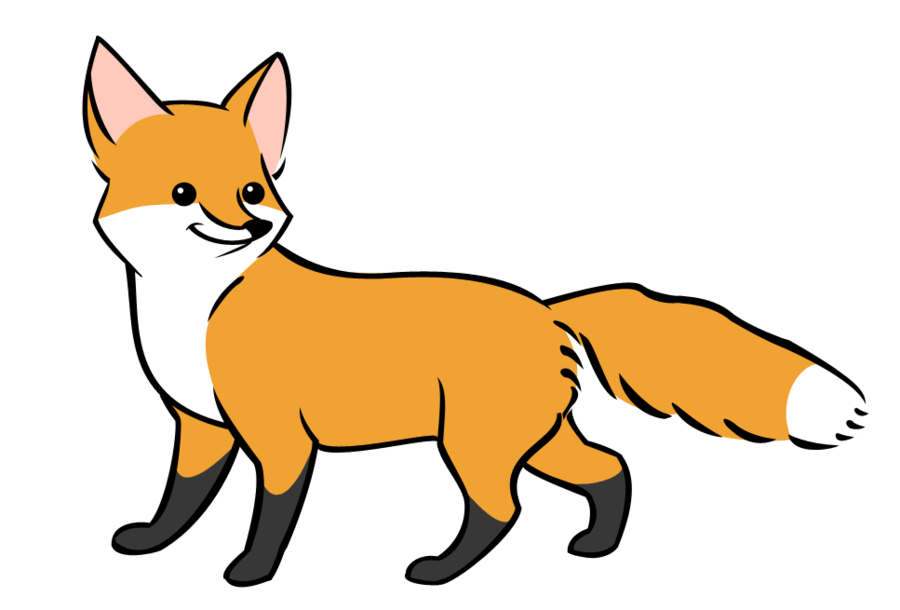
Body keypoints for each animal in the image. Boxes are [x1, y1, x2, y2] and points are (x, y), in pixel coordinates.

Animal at [82, 36, 868, 588]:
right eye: (184, 192)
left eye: (252, 189)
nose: (248, 226)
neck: (193, 309)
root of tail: (547, 309)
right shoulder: (201, 428)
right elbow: (179, 501)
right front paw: (149, 544)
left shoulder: (278, 439)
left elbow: (269, 517)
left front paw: (250, 574)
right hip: (533, 438)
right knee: (609, 469)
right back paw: (595, 548)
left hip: (474, 443)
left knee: (503, 509)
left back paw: (439, 572)